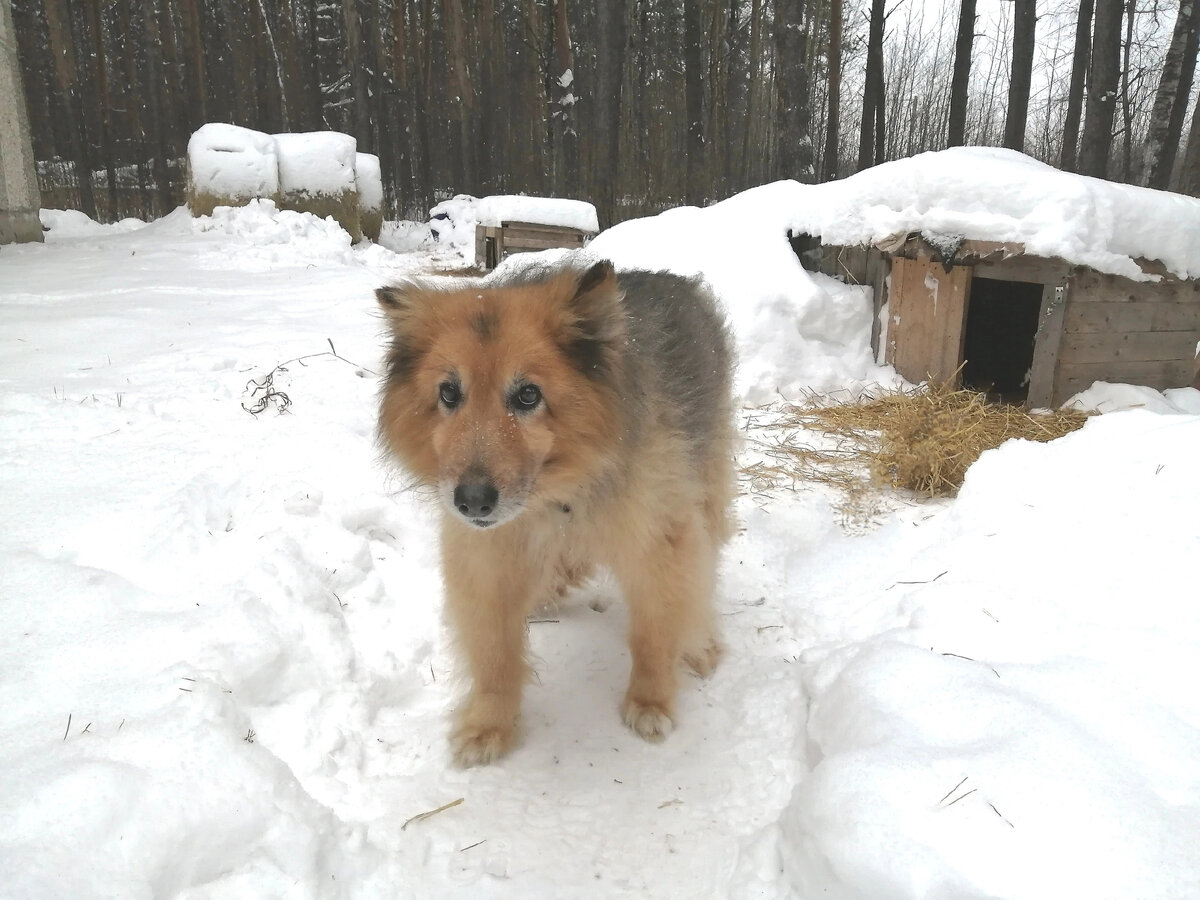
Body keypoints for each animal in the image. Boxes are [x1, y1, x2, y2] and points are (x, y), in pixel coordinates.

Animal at [376, 255, 729, 768]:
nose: (472, 501)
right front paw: (490, 725)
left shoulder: (658, 542)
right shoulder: (488, 559)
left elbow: (655, 631)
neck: (555, 496)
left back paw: (701, 644)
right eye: (449, 394)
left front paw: (651, 701)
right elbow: (495, 654)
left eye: (527, 395)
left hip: (707, 477)